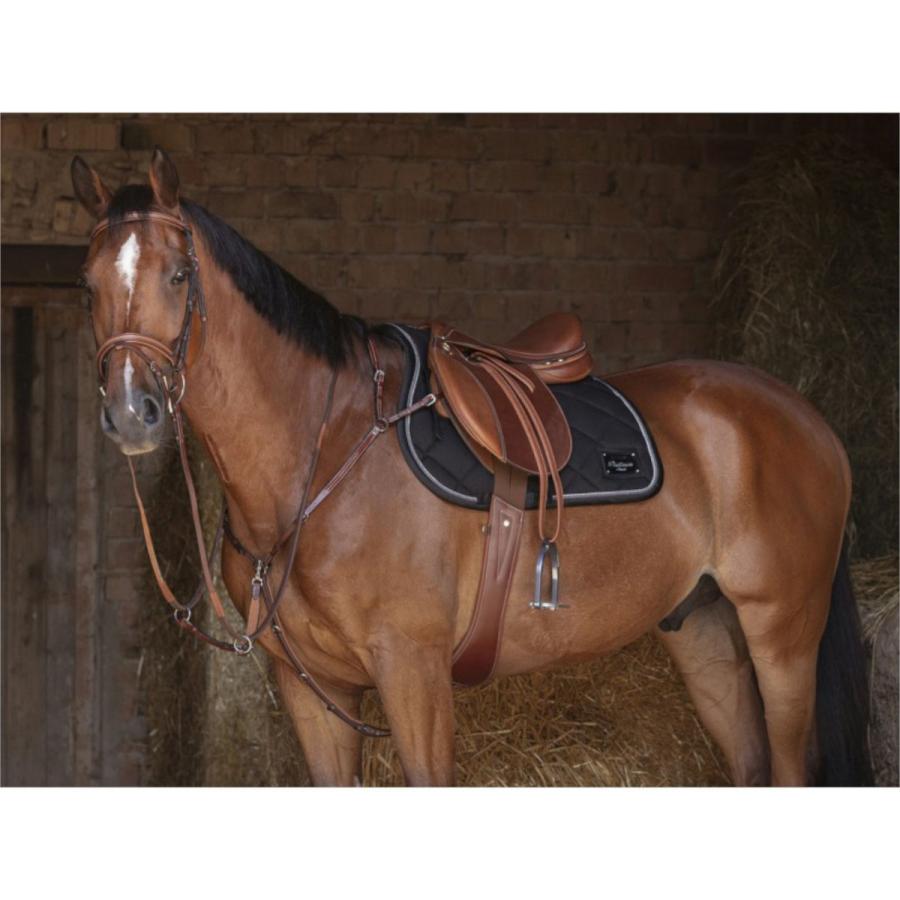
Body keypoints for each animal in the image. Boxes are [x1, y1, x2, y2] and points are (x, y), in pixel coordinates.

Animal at [71, 148, 872, 787]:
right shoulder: (313, 692)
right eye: (87, 284)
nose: (133, 411)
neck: (322, 458)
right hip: (705, 633)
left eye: (180, 275)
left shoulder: (413, 673)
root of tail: (808, 420)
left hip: (784, 636)